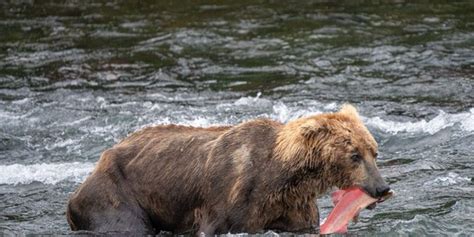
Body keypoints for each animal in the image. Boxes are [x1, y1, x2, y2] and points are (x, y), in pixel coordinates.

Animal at [67, 104, 392, 235]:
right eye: (354, 155)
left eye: (374, 151)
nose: (382, 188)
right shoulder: (230, 199)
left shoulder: (292, 206)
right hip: (115, 195)